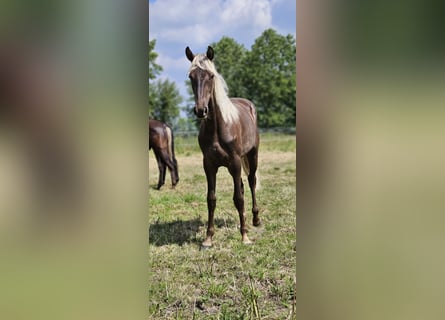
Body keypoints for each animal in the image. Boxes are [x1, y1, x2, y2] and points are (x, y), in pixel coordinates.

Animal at [185, 45, 260, 248]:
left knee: (251, 182)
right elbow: (211, 199)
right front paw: (208, 239)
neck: (218, 129)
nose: (201, 110)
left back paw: (256, 219)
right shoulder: (209, 165)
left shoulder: (235, 162)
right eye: (191, 76)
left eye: (211, 76)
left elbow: (238, 198)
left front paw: (245, 237)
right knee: (242, 185)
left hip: (252, 156)